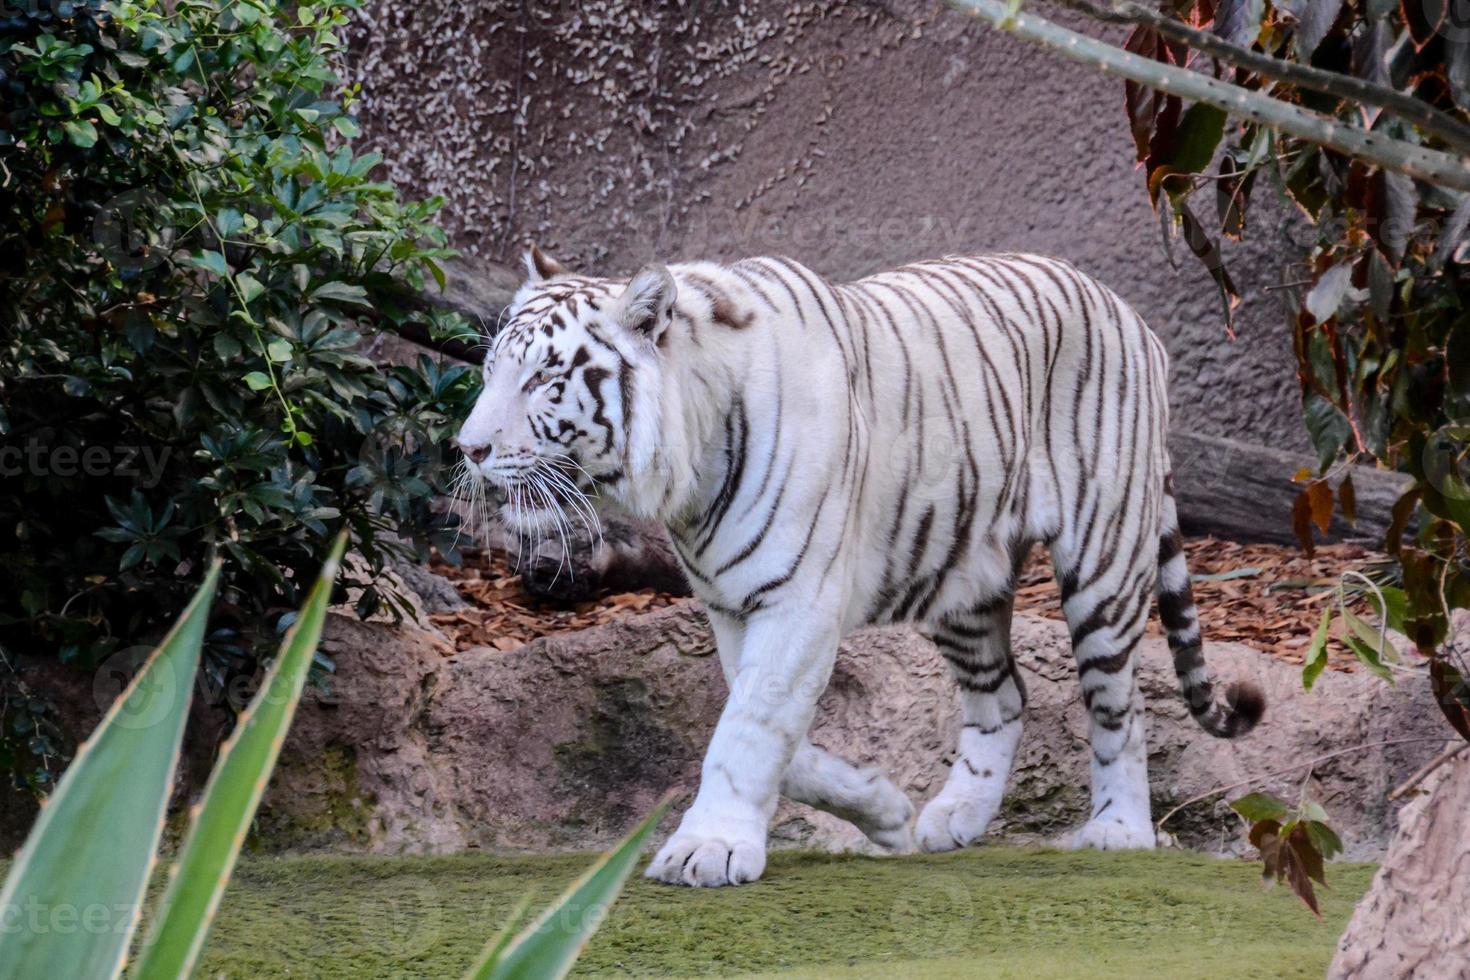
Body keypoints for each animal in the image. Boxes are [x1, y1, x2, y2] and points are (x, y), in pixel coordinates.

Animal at [455, 245, 1264, 887]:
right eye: (491, 372)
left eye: (542, 380)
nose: (468, 448)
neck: (690, 458)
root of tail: (1130, 314)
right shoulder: (732, 605)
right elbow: (770, 730)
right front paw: (882, 810)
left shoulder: (798, 597)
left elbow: (748, 728)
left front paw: (707, 849)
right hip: (961, 573)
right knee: (1003, 697)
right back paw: (951, 818)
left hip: (1103, 558)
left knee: (1119, 706)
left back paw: (1117, 831)